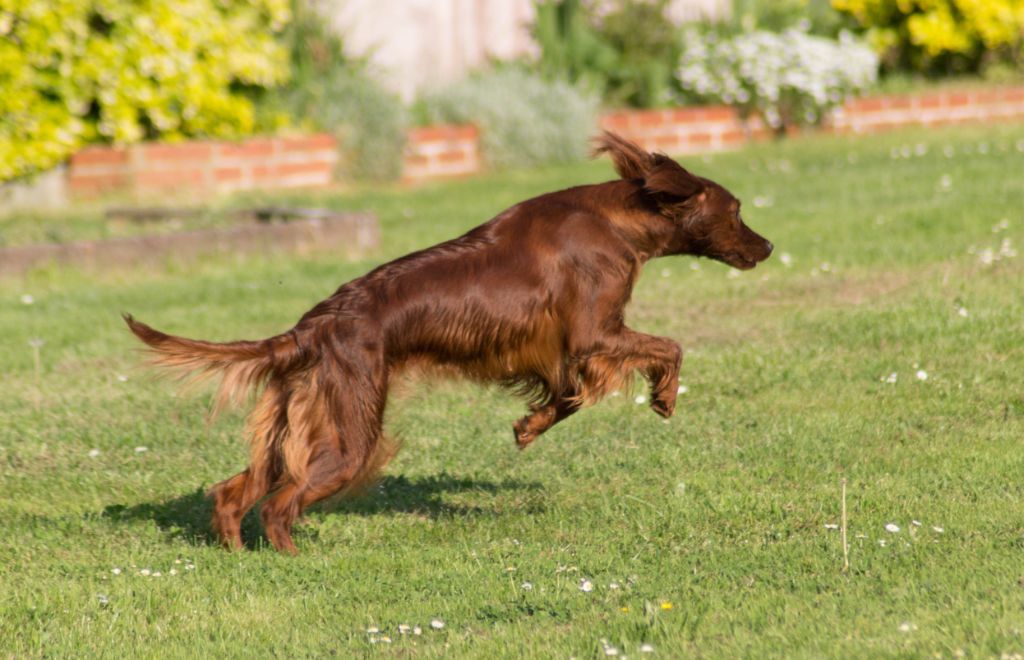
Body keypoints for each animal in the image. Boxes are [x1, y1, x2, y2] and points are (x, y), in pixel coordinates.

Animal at [123, 133, 770, 552]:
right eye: (737, 209)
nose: (765, 247)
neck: (618, 218)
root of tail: (309, 329)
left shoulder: (557, 351)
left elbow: (566, 396)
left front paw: (528, 427)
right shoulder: (594, 334)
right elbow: (669, 347)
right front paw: (664, 396)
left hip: (292, 429)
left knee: (233, 493)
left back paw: (236, 555)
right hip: (351, 436)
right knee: (279, 506)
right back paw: (296, 561)